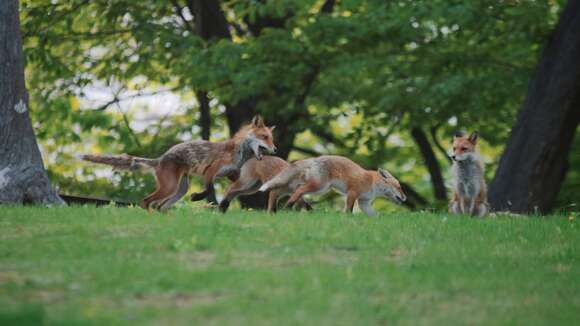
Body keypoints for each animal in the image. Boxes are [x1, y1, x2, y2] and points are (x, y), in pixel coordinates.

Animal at [80, 116, 276, 210]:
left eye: (271, 138)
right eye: (264, 137)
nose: (275, 150)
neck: (237, 154)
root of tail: (160, 159)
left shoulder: (231, 174)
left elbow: (227, 183)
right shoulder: (210, 171)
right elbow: (209, 189)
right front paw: (197, 197)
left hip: (178, 190)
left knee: (160, 206)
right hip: (170, 187)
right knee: (146, 201)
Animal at [258, 155, 404, 216]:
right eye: (399, 187)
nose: (405, 198)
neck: (372, 182)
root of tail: (314, 158)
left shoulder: (364, 202)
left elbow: (374, 214)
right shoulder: (352, 192)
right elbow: (349, 209)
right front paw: (347, 218)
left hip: (301, 185)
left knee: (277, 191)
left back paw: (276, 210)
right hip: (319, 187)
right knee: (298, 191)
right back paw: (289, 205)